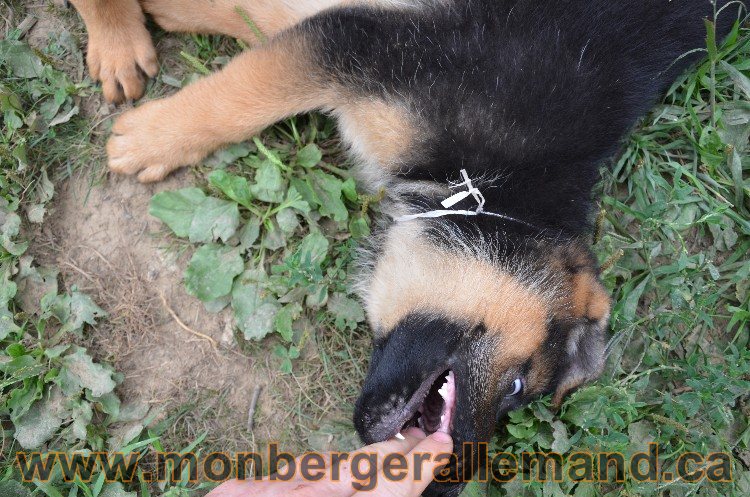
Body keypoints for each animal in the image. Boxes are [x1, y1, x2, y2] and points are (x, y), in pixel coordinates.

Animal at [70, 0, 740, 496]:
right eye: (516, 388)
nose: (448, 483)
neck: (489, 187)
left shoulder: (352, 33)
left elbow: (255, 27)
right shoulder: (366, 46)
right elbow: (240, 95)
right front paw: (155, 138)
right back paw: (118, 43)